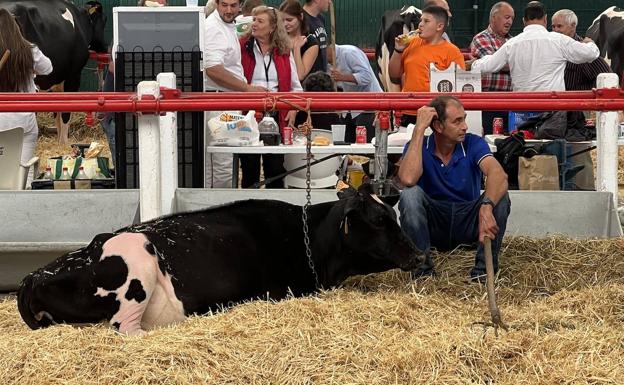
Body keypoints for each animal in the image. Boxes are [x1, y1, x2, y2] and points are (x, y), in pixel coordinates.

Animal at [0, 0, 107, 143]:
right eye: (104, 20)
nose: (106, 48)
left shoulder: (55, 79)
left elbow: (57, 111)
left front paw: (59, 141)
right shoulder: (73, 75)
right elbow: (65, 112)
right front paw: (64, 143)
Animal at [19, 184, 426, 334]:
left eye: (393, 214)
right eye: (379, 220)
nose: (417, 252)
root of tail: (34, 275)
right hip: (136, 266)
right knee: (124, 328)